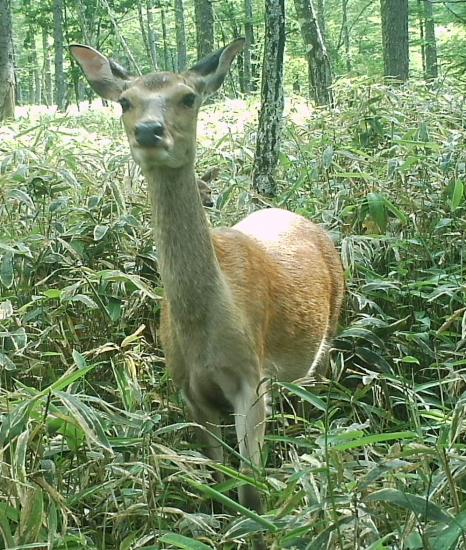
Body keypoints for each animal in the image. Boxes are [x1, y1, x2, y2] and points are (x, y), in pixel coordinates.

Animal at [71, 38, 344, 532]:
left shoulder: (252, 378)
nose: (149, 131)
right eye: (125, 101)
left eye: (187, 97)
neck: (206, 326)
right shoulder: (188, 388)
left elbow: (251, 487)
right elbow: (217, 478)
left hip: (330, 335)